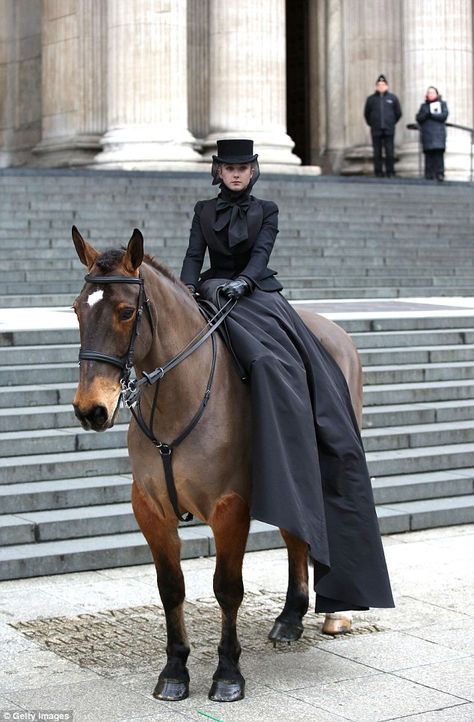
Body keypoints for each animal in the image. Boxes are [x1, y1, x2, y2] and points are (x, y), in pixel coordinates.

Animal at [71, 226, 362, 704]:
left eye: (127, 312)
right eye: (77, 310)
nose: (89, 409)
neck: (178, 399)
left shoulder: (231, 508)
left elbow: (227, 589)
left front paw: (228, 673)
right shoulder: (151, 510)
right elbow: (171, 588)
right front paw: (175, 670)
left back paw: (336, 614)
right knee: (297, 535)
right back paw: (291, 617)